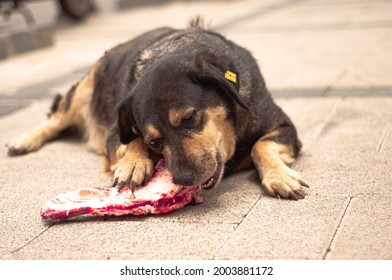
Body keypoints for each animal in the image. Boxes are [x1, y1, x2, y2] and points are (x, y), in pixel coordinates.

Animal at [5, 19, 310, 199]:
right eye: (154, 142)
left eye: (190, 118)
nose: (184, 180)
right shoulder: (115, 133)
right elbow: (131, 140)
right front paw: (134, 163)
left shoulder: (284, 126)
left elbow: (261, 145)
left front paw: (279, 176)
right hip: (83, 90)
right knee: (54, 119)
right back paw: (24, 140)